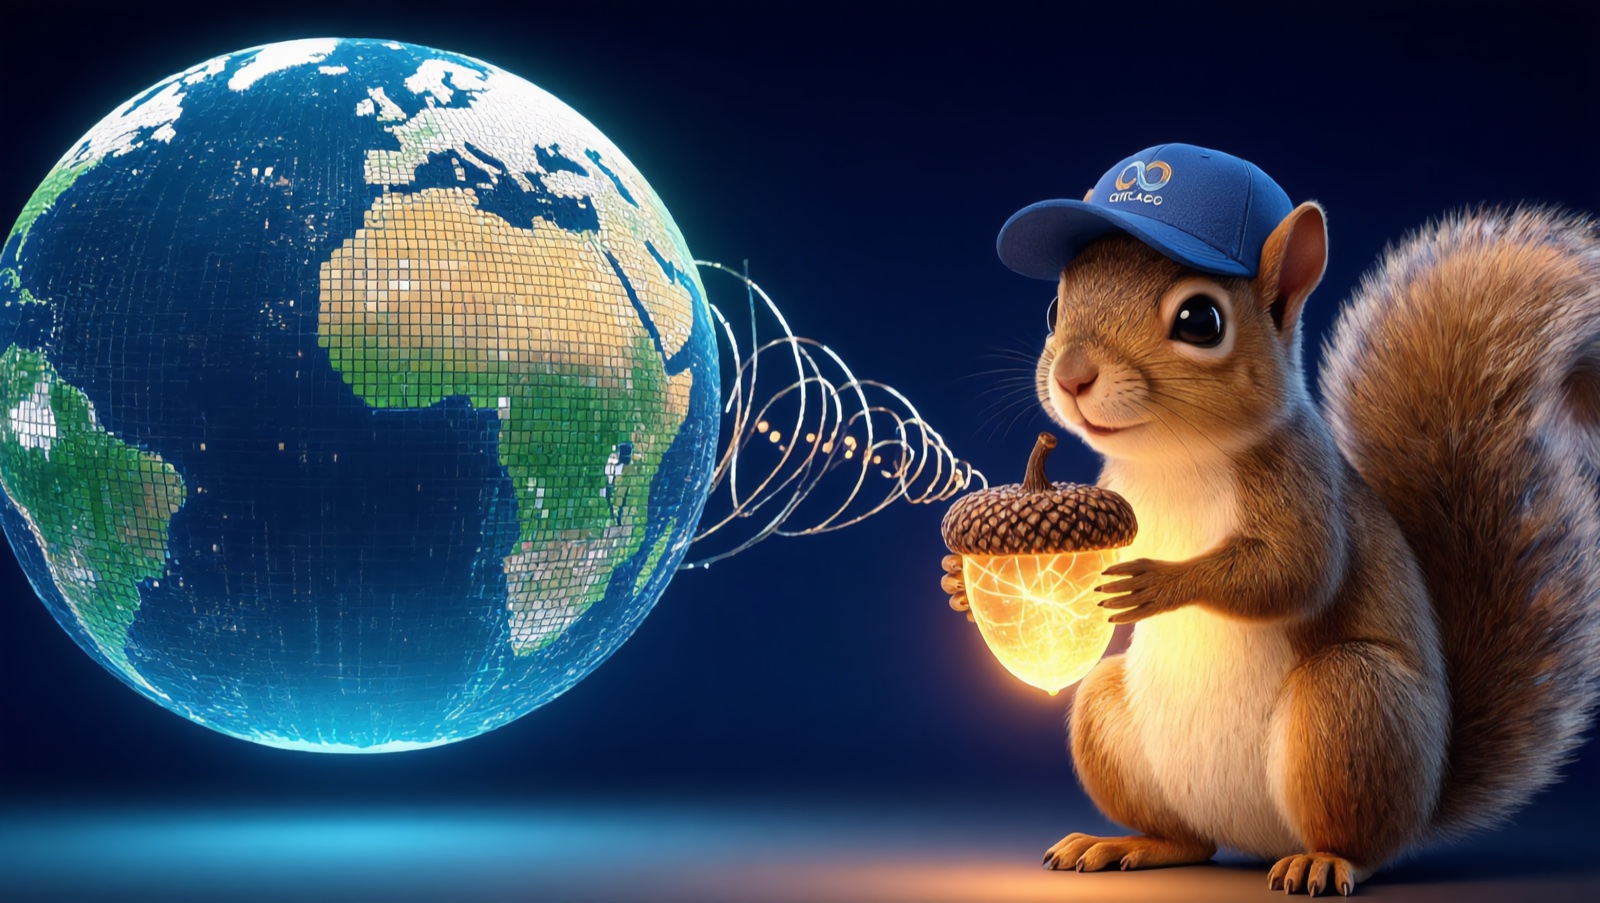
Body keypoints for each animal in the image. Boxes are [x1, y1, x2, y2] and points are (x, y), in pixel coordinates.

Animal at [941, 143, 1600, 896]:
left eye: (1200, 320)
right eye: (1055, 305)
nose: (1073, 374)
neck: (1171, 457)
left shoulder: (1299, 482)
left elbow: (1294, 572)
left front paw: (1160, 582)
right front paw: (959, 582)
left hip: (1349, 706)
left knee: (1357, 840)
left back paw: (1323, 860)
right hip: (1112, 715)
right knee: (1189, 839)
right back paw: (1125, 843)